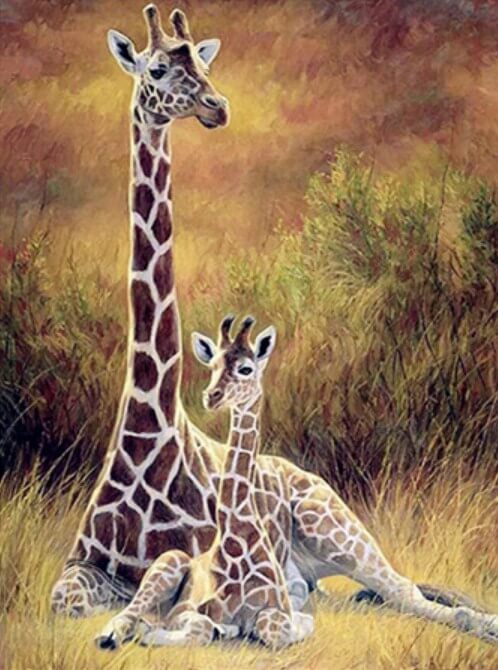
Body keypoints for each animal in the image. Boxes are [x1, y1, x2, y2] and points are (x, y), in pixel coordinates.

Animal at [95, 316, 314, 650]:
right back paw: (113, 634)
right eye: (212, 365)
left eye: (246, 368)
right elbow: (201, 626)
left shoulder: (282, 610)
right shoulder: (186, 610)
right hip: (169, 562)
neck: (238, 540)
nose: (211, 396)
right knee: (129, 613)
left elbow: (283, 628)